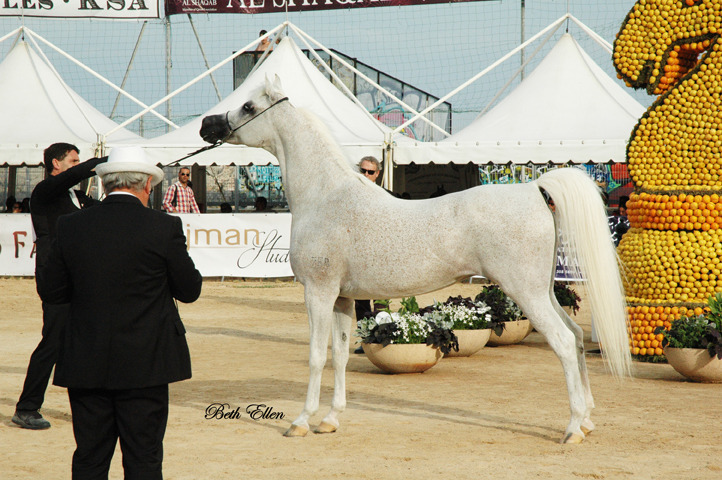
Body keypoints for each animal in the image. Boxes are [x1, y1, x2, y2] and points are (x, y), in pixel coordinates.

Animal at [199, 76, 632, 444]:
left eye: (248, 105)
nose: (207, 124)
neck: (327, 196)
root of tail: (534, 189)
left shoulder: (318, 294)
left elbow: (316, 357)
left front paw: (302, 421)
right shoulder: (341, 298)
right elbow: (339, 356)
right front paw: (331, 419)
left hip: (526, 292)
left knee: (564, 342)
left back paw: (573, 428)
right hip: (544, 290)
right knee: (575, 337)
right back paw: (587, 419)